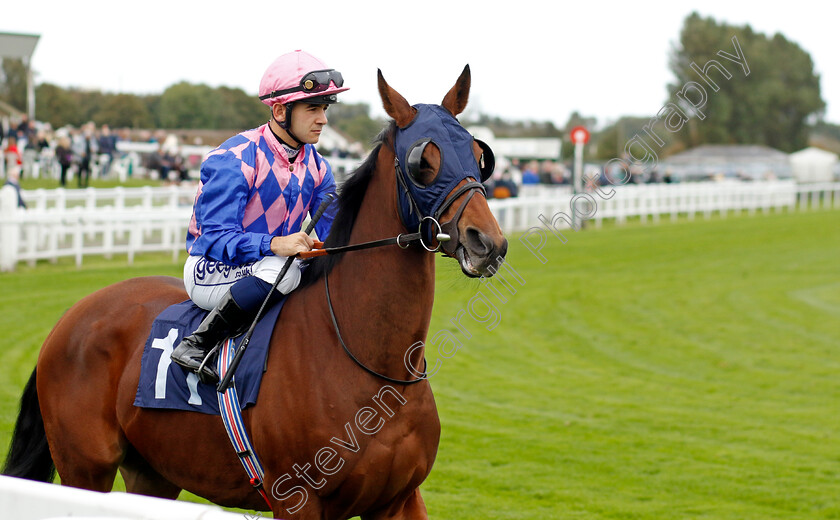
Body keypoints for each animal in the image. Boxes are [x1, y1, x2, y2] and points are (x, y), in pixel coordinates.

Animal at [3, 66, 506, 520]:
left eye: (478, 152)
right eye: (424, 162)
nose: (488, 243)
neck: (372, 362)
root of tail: (70, 319)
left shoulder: (400, 500)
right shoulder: (298, 500)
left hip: (153, 472)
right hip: (84, 468)